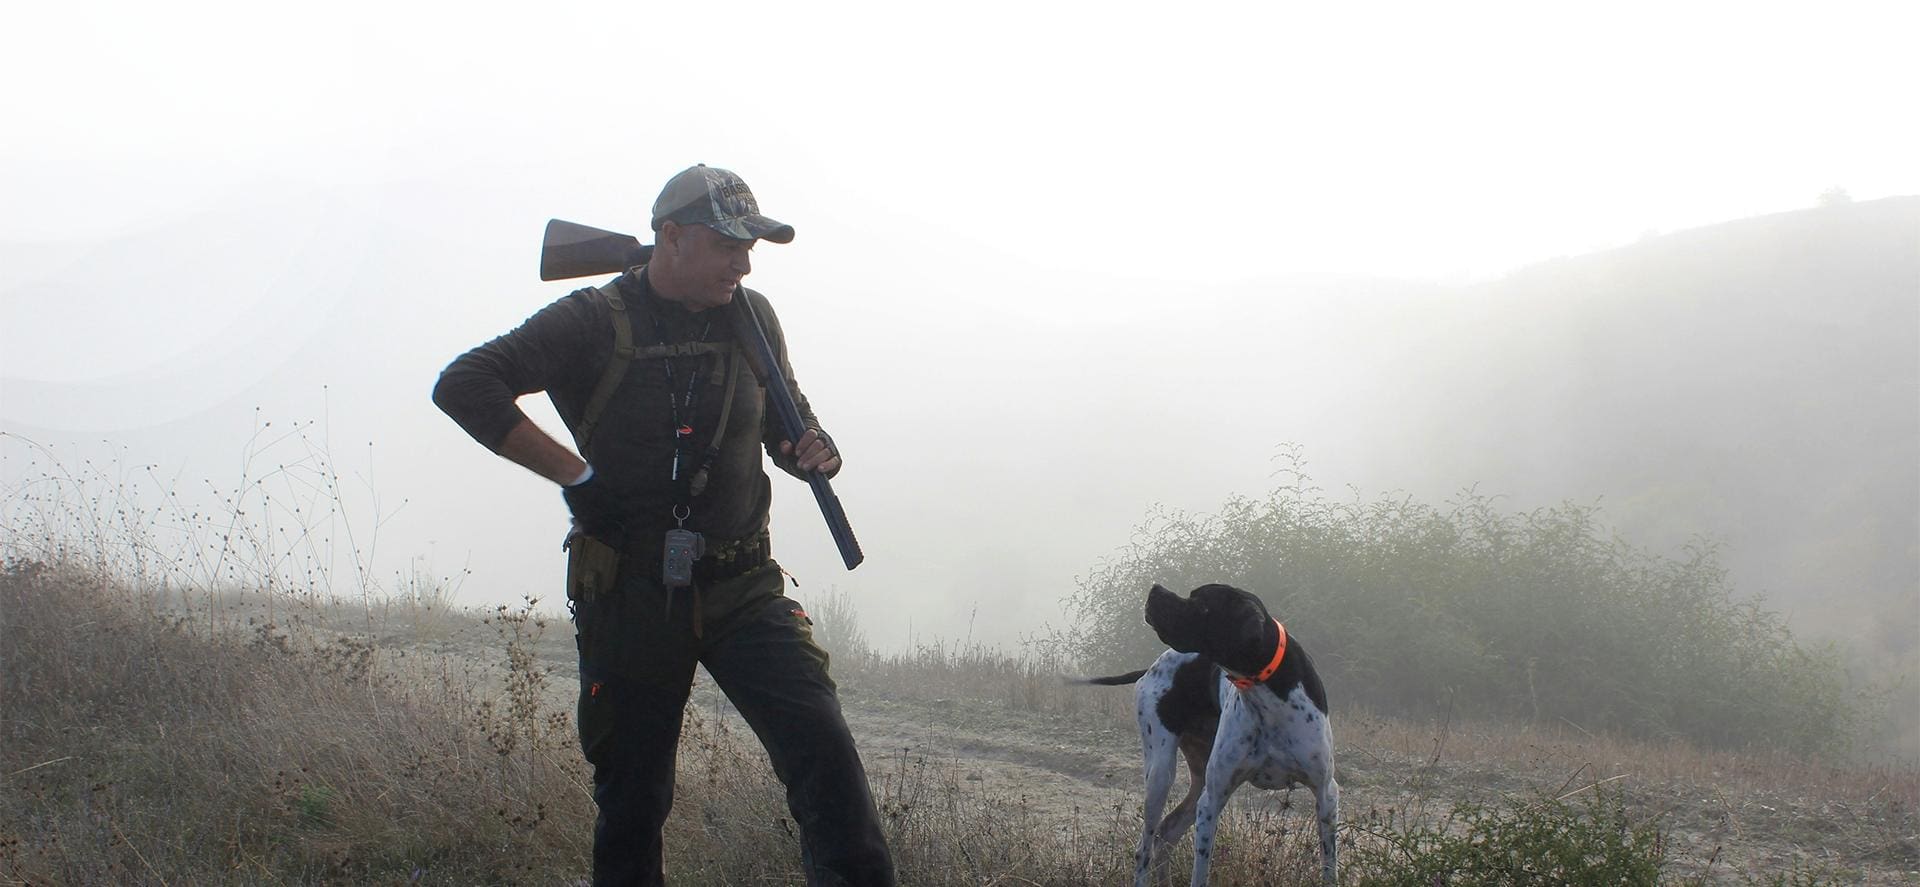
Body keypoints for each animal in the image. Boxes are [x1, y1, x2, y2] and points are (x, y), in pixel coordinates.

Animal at [1090, 583, 1344, 887]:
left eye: (1202, 604)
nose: (1155, 589)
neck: (1266, 693)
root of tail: (1153, 665)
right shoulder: (1211, 801)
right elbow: (1200, 873)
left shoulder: (1326, 795)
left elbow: (1329, 869)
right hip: (1161, 774)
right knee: (1145, 848)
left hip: (1197, 779)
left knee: (1167, 832)